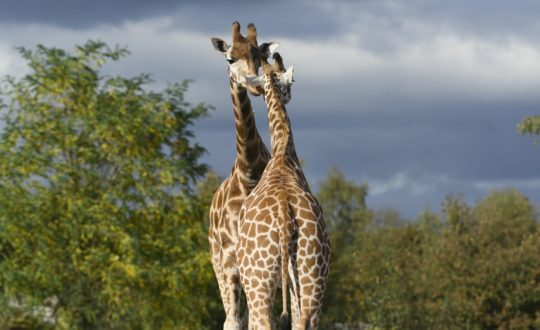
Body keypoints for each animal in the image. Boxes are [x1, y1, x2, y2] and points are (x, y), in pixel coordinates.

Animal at [238, 52, 332, 328]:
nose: (290, 95)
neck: (282, 153)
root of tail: (283, 213)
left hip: (257, 281)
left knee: (263, 321)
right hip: (311, 276)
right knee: (305, 321)